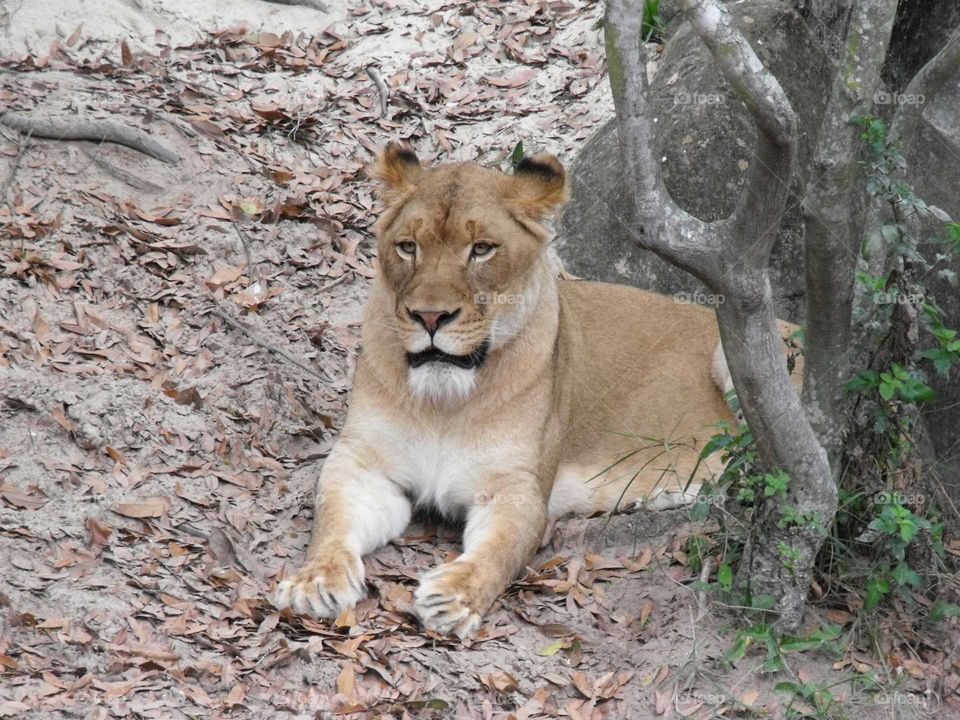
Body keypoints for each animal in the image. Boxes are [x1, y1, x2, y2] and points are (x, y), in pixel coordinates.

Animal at [273, 144, 773, 637]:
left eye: (481, 250)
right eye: (408, 247)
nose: (430, 317)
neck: (444, 403)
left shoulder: (518, 488)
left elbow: (499, 551)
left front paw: (454, 598)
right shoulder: (362, 463)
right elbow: (333, 517)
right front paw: (315, 581)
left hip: (740, 357)